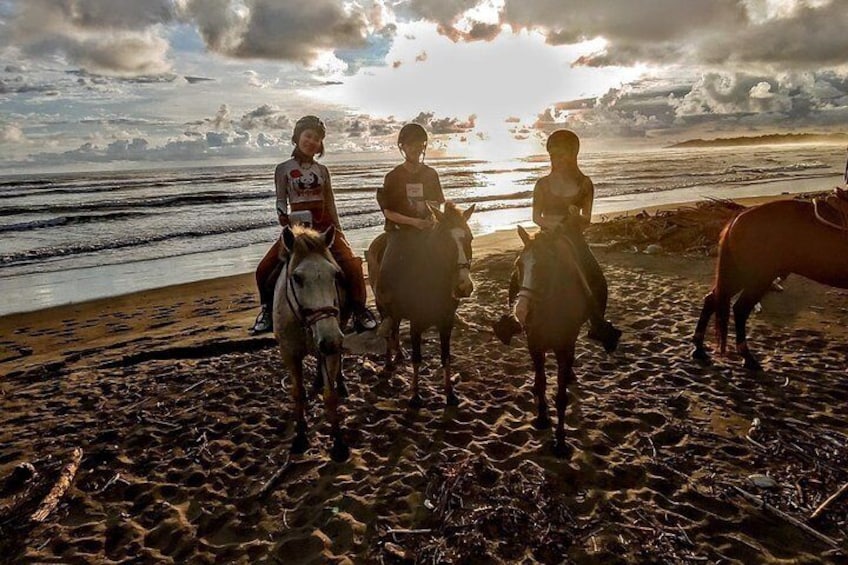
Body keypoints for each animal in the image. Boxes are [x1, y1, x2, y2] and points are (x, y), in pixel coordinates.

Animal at [274, 223, 350, 460]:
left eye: (335, 274)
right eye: (297, 278)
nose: (331, 340)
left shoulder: (331, 349)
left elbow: (330, 395)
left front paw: (339, 444)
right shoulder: (289, 354)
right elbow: (298, 394)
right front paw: (300, 437)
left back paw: (340, 383)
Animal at [368, 202, 476, 406]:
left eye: (470, 238)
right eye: (445, 241)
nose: (464, 287)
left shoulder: (446, 323)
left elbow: (446, 357)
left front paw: (450, 394)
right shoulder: (416, 324)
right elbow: (417, 359)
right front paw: (415, 395)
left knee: (395, 329)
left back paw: (398, 354)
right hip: (383, 307)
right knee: (388, 332)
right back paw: (388, 364)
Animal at [510, 221, 588, 454]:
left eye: (544, 267)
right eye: (519, 265)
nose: (521, 312)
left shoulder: (564, 347)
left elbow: (561, 396)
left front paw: (561, 440)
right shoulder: (535, 344)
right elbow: (542, 380)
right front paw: (542, 417)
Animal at [692, 196, 848, 372]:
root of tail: (740, 217)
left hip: (740, 275)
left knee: (712, 300)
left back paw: (699, 349)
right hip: (758, 277)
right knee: (740, 309)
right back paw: (747, 358)